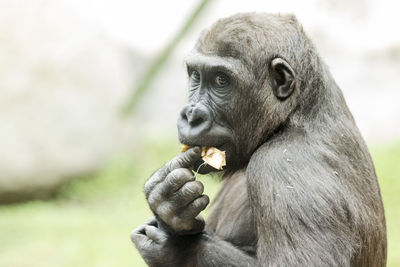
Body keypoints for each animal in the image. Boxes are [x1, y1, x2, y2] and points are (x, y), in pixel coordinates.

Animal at [131, 13, 388, 267]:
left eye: (221, 80)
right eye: (196, 75)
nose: (191, 116)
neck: (297, 112)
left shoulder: (284, 167)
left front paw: (179, 245)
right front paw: (166, 207)